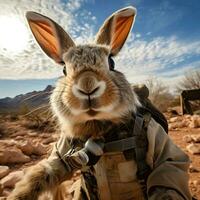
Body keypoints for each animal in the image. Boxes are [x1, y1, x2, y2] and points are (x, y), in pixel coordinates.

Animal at [8, 5, 192, 200]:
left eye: (111, 62)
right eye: (64, 69)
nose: (87, 85)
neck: (99, 132)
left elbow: (169, 166)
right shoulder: (64, 151)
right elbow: (46, 171)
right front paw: (18, 195)